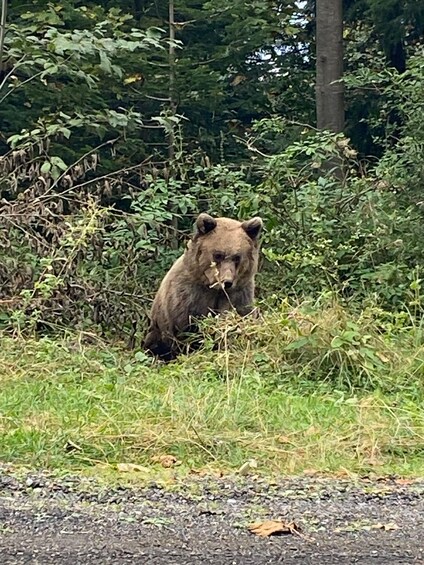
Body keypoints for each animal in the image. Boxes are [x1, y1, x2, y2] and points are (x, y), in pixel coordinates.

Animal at [144, 212, 264, 362]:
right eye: (218, 254)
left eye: (237, 257)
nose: (226, 281)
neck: (214, 289)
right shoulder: (189, 296)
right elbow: (188, 328)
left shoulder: (238, 295)